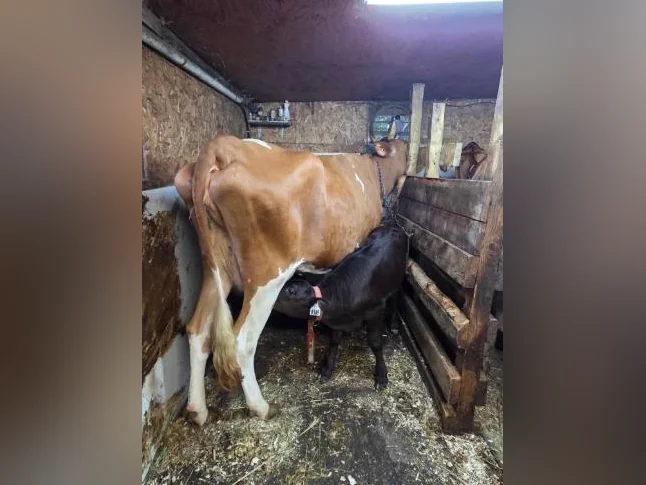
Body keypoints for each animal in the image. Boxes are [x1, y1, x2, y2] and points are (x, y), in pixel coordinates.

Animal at [273, 221, 410, 390]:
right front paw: (327, 370)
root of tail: (392, 224)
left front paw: (382, 376)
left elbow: (375, 343)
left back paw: (394, 324)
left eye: (291, 291)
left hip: (399, 277)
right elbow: (334, 341)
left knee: (395, 297)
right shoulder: (337, 321)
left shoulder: (375, 310)